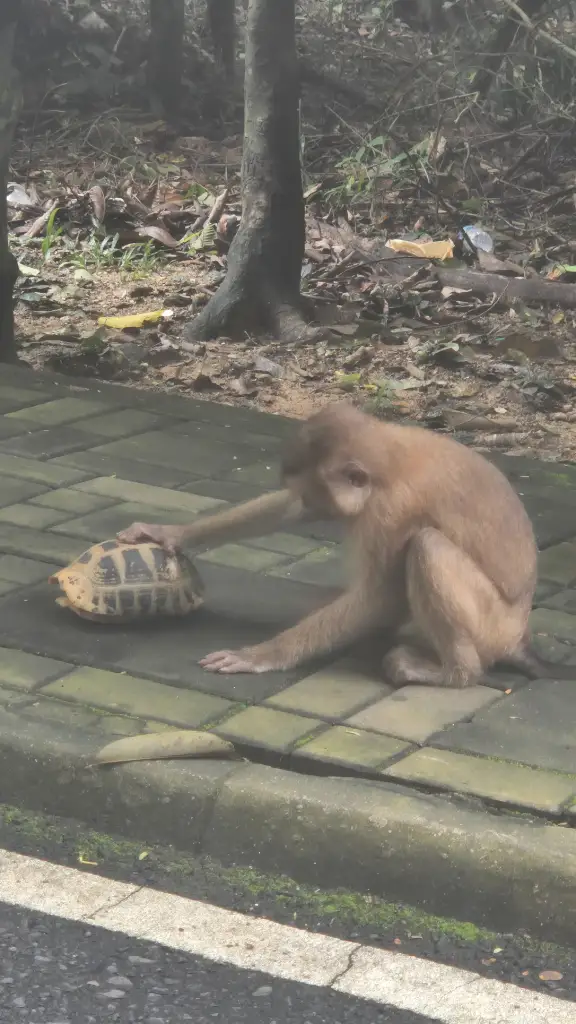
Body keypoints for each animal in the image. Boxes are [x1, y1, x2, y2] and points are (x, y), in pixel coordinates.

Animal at [117, 403, 572, 686]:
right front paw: (171, 533)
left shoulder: (390, 510)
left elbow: (380, 596)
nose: (310, 503)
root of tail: (518, 635)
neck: (389, 457)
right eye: (305, 495)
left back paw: (456, 674)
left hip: (491, 626)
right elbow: (285, 510)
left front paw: (263, 655)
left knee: (426, 545)